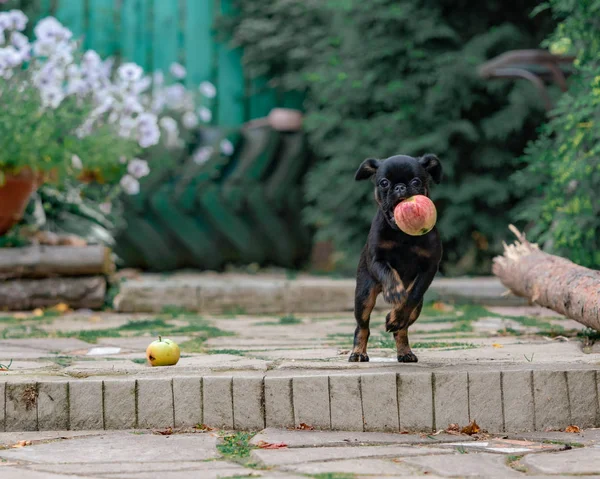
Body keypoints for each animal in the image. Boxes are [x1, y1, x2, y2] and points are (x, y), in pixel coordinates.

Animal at [350, 155, 442, 364]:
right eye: (384, 183)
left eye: (416, 182)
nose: (400, 187)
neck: (402, 235)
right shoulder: (377, 260)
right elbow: (388, 273)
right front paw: (394, 291)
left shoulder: (429, 268)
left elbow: (411, 297)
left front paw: (396, 316)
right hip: (364, 295)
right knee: (363, 326)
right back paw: (358, 352)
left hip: (418, 308)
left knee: (402, 328)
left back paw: (404, 348)